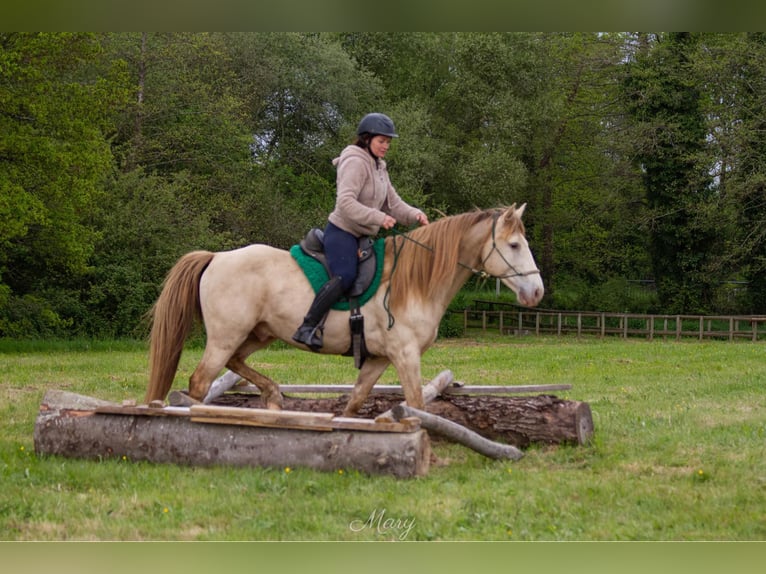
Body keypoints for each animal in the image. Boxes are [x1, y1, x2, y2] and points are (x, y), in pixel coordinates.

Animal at [144, 205, 544, 416]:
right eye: (514, 244)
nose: (537, 292)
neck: (414, 281)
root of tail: (216, 257)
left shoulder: (379, 358)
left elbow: (355, 401)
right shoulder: (406, 355)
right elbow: (416, 403)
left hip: (257, 334)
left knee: (235, 363)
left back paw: (272, 395)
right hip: (226, 337)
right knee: (200, 381)